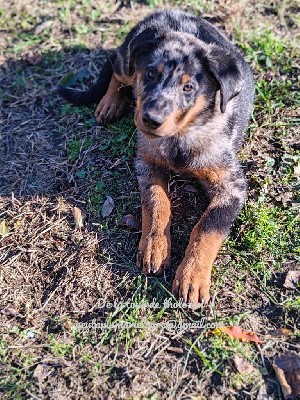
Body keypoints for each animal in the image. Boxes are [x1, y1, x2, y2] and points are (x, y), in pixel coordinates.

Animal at [59, 10, 255, 310]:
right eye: (151, 74)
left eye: (189, 88)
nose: (150, 120)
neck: (181, 136)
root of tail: (167, 12)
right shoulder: (146, 163)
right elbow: (156, 203)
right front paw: (154, 247)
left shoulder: (232, 186)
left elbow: (208, 226)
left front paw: (192, 276)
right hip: (128, 61)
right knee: (116, 66)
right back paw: (109, 103)